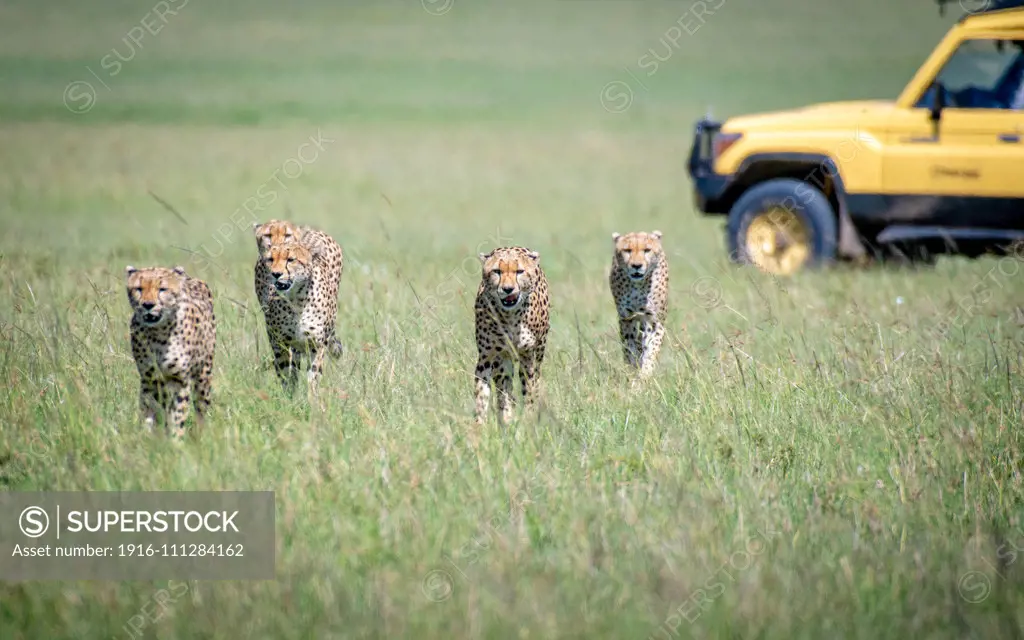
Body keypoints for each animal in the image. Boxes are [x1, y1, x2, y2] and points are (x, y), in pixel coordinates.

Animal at [126, 262, 218, 436]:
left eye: (162, 289)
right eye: (139, 288)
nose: (148, 305)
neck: (158, 332)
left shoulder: (179, 380)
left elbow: (178, 414)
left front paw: (175, 438)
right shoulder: (149, 378)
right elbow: (148, 410)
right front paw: (146, 436)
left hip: (203, 375)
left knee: (201, 407)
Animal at [252, 234, 342, 395]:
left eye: (291, 259)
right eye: (271, 259)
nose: (276, 274)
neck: (297, 299)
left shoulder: (317, 344)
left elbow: (313, 376)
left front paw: (312, 399)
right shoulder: (279, 342)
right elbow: (285, 373)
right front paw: (289, 397)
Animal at [473, 246, 552, 425]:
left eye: (519, 271)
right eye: (497, 271)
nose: (508, 289)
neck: (511, 316)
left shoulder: (528, 356)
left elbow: (529, 390)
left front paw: (529, 420)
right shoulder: (489, 356)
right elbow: (484, 394)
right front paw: (481, 425)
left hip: (538, 352)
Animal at [606, 229, 671, 378]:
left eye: (647, 250)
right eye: (627, 250)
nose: (636, 266)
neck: (638, 285)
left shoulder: (654, 322)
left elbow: (651, 351)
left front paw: (644, 376)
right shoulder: (626, 320)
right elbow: (629, 349)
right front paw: (632, 370)